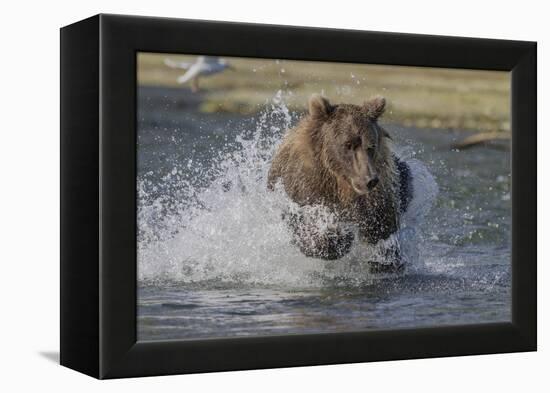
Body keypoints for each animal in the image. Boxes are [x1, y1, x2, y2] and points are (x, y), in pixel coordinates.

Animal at [268, 94, 414, 270]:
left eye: (371, 145)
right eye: (348, 144)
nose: (370, 180)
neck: (340, 183)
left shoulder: (379, 192)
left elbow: (382, 225)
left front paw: (385, 258)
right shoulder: (306, 186)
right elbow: (305, 222)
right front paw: (339, 237)